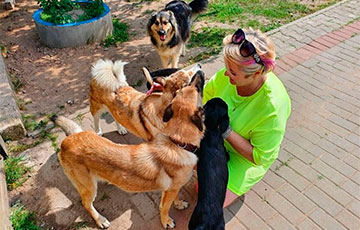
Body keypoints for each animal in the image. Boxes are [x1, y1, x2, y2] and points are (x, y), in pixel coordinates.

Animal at [52, 71, 205, 229]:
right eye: (191, 86)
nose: (200, 71)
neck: (177, 142)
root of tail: (69, 139)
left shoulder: (172, 189)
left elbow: (175, 198)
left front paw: (179, 204)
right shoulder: (171, 190)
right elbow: (164, 207)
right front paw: (166, 221)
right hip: (88, 186)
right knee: (87, 204)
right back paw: (100, 220)